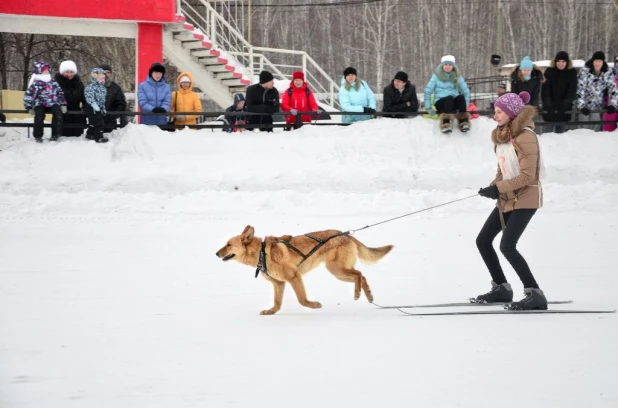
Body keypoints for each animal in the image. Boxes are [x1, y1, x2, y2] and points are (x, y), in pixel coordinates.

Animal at [215, 225, 390, 314]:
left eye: (228, 244)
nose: (216, 253)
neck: (262, 253)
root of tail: (347, 234)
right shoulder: (279, 283)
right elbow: (277, 302)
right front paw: (271, 311)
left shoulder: (294, 277)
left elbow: (301, 300)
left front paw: (314, 305)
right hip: (338, 272)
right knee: (361, 276)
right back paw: (368, 295)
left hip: (337, 269)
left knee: (359, 274)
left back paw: (359, 293)